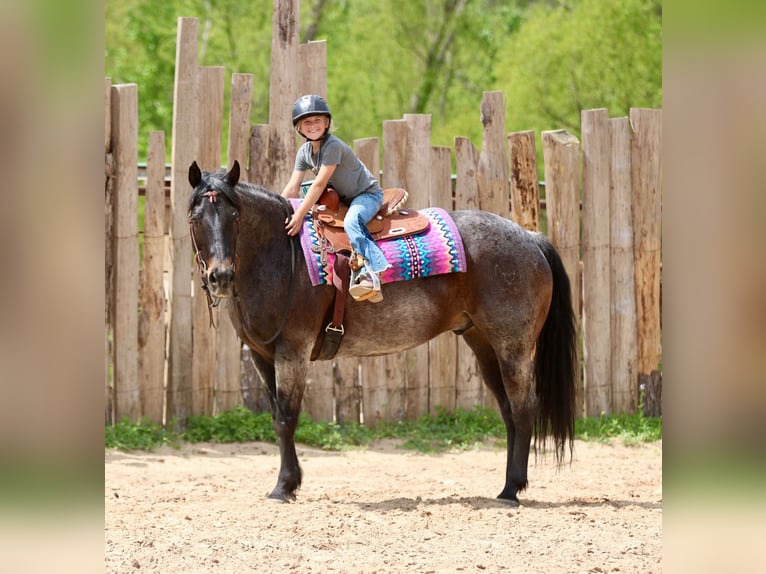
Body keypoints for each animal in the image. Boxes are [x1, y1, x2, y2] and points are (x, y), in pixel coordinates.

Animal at [187, 160, 577, 505]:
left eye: (235, 217)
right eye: (195, 218)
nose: (220, 277)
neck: (281, 254)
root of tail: (530, 237)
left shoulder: (293, 352)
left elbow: (287, 418)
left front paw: (284, 487)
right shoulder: (261, 355)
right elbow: (276, 418)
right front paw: (289, 483)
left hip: (513, 345)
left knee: (524, 408)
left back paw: (512, 490)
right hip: (483, 344)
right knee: (509, 411)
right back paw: (508, 485)